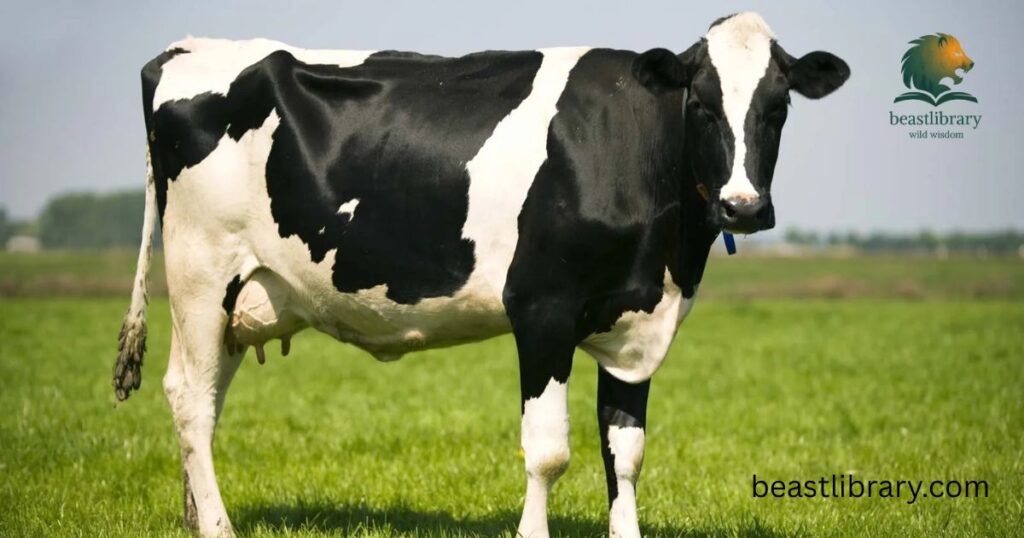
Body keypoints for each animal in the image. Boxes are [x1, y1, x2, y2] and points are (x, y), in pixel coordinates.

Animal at [113, 12, 848, 538]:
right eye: (701, 104)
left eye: (778, 106)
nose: (743, 206)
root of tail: (184, 50)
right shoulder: (543, 309)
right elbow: (549, 450)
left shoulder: (639, 319)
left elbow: (626, 449)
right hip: (200, 270)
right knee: (188, 396)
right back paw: (217, 527)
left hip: (244, 293)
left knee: (208, 403)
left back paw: (196, 518)